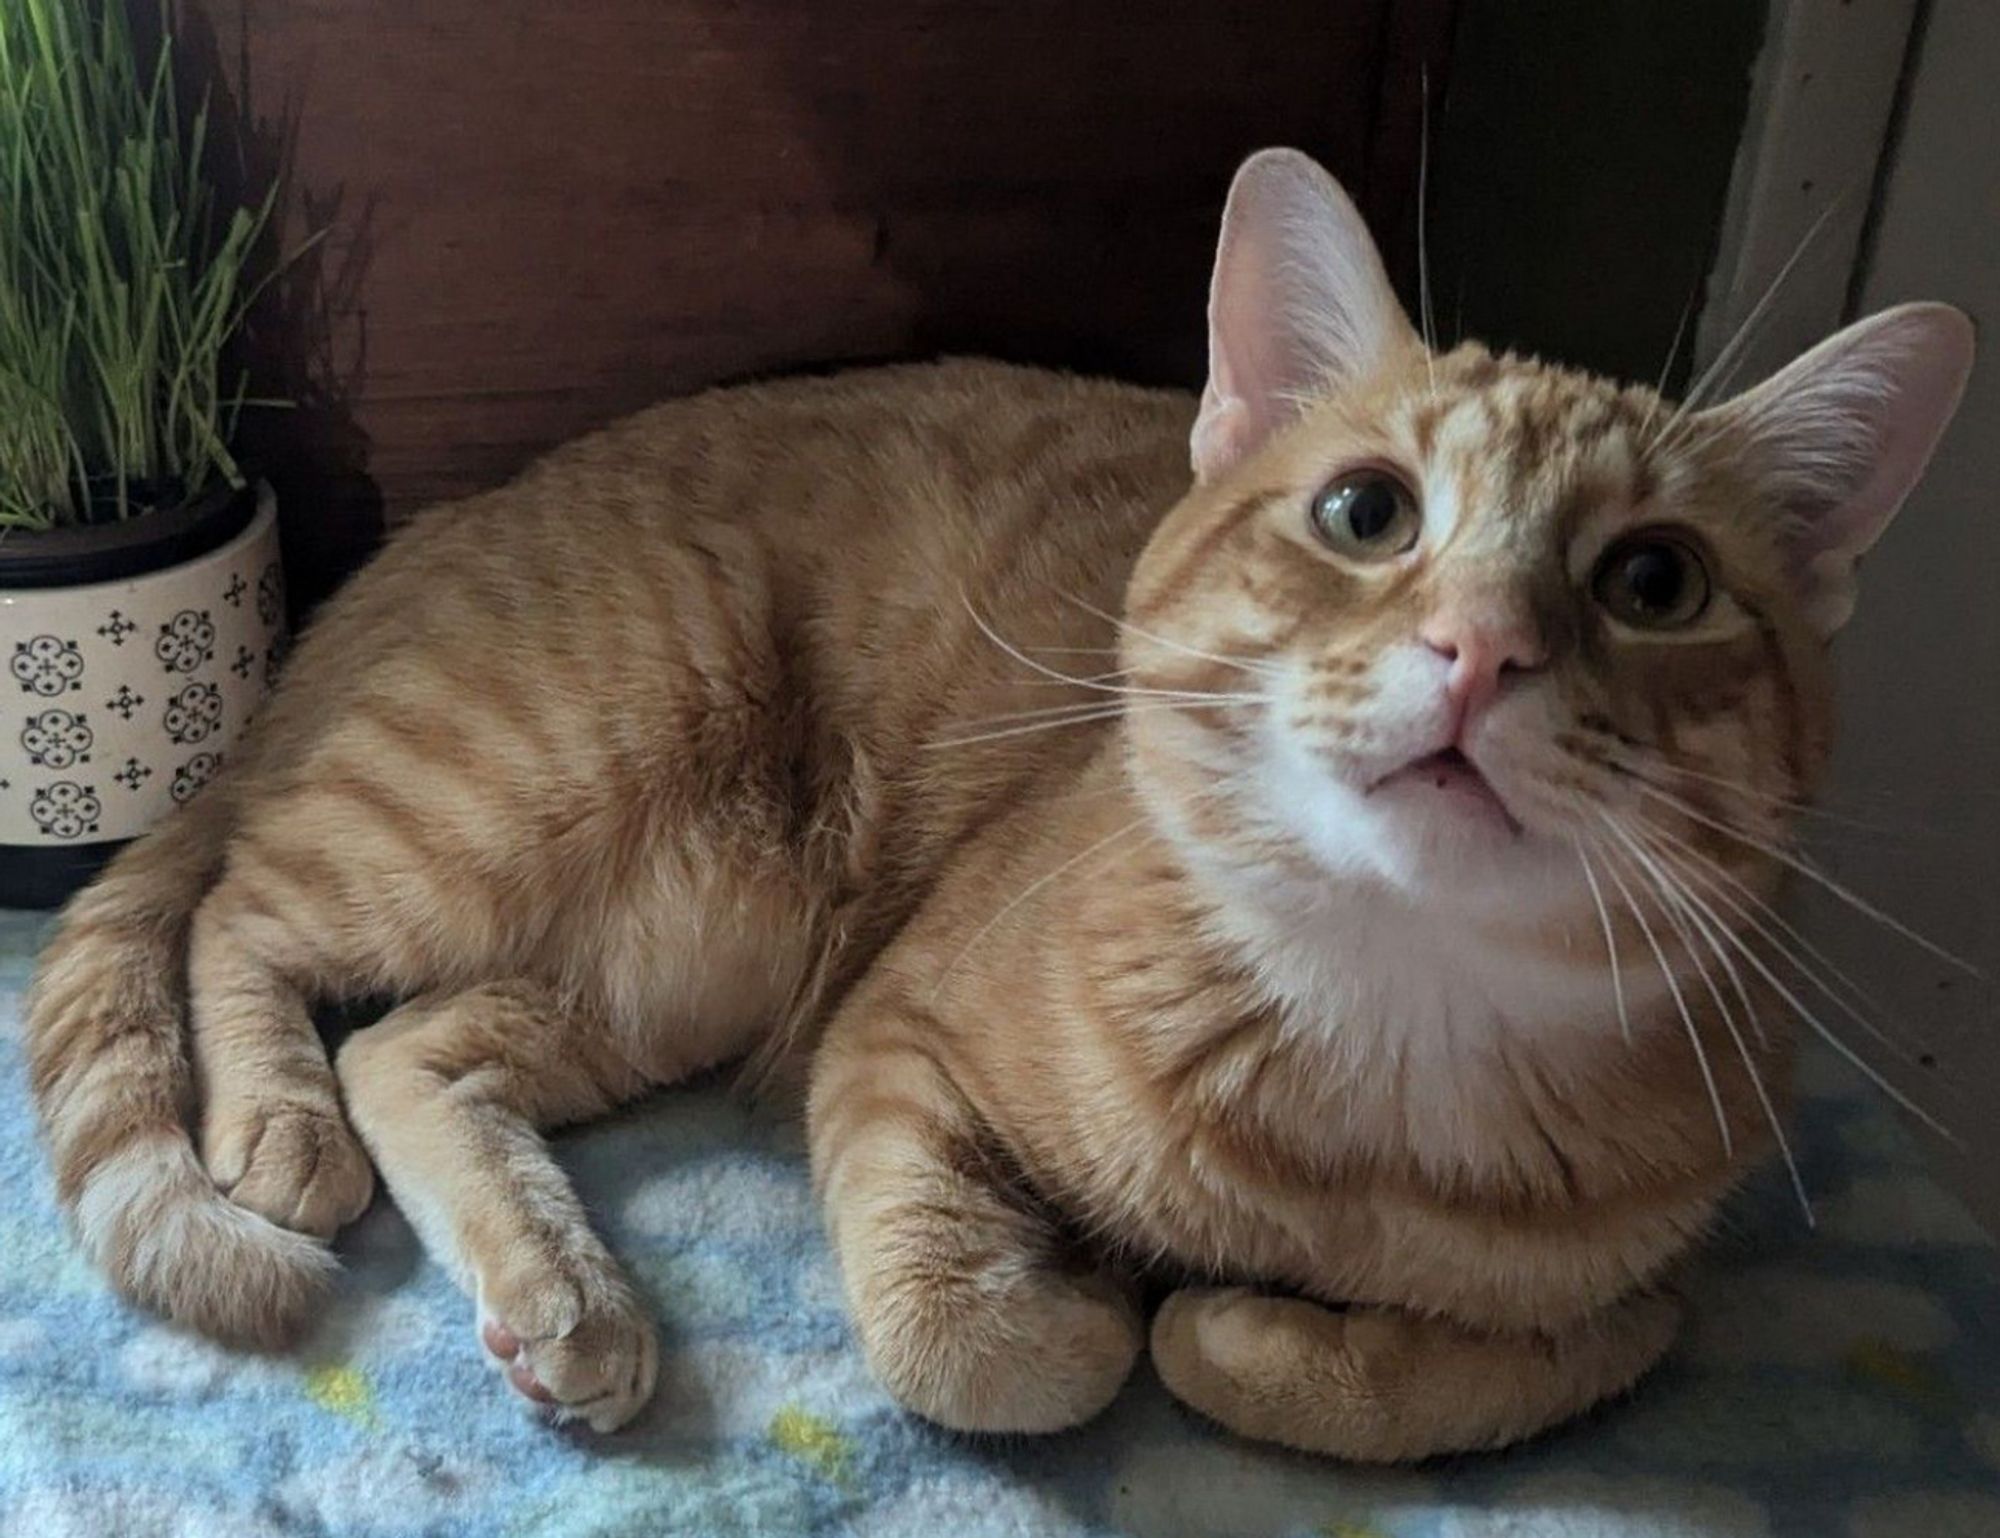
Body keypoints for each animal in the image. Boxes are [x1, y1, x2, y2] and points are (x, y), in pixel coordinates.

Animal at [27, 144, 1968, 1456]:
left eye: (1656, 582)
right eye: (1368, 512)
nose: (1483, 647)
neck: (1382, 1039)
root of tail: (373, 583)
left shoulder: (1647, 1300)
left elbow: (1437, 1378)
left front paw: (1249, 1332)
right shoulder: (891, 1041)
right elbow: (993, 1347)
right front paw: (1112, 1296)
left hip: (694, 947)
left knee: (416, 1043)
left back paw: (561, 1294)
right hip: (576, 815)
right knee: (245, 916)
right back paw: (280, 1122)